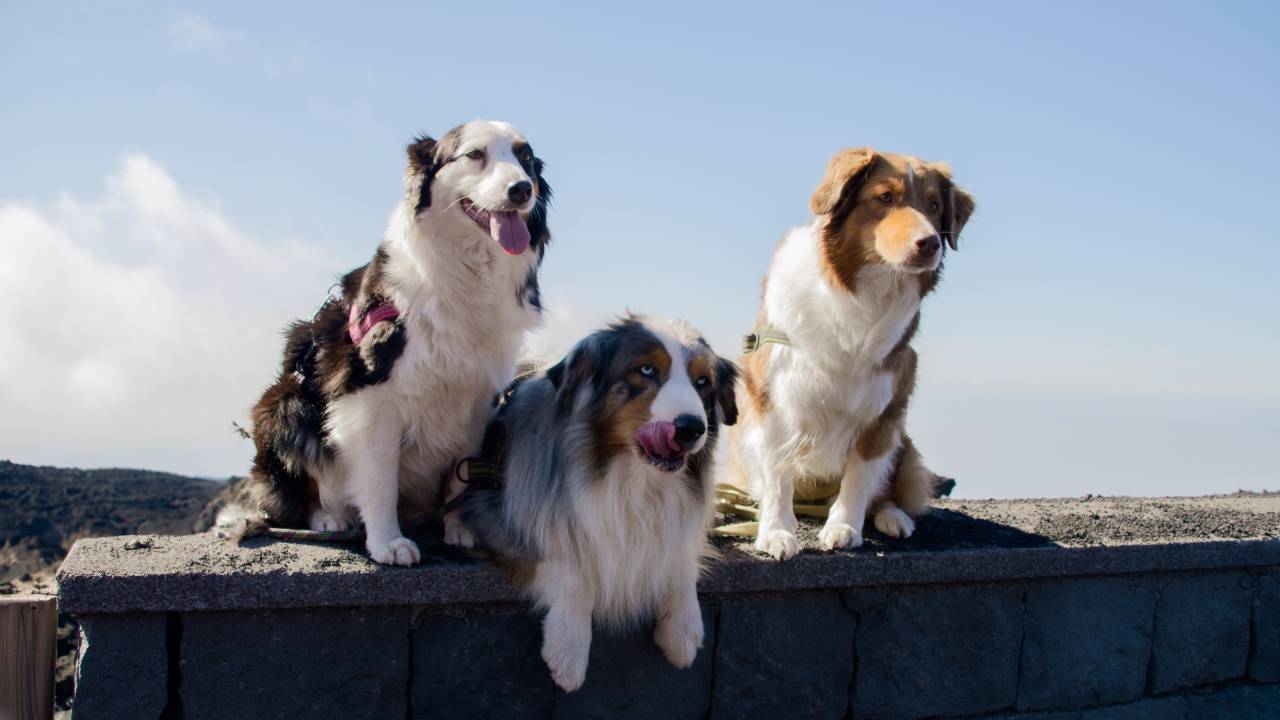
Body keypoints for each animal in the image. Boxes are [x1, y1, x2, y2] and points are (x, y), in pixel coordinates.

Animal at [216, 120, 555, 563]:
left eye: (525, 159)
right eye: (475, 155)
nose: (521, 190)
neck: (467, 274)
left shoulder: (476, 398)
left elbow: (462, 472)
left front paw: (459, 527)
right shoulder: (369, 394)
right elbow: (380, 478)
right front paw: (387, 542)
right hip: (285, 403)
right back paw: (329, 517)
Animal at [448, 316, 737, 686]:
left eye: (703, 381)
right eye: (645, 370)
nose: (691, 428)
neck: (634, 480)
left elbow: (679, 559)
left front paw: (684, 630)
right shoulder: (504, 520)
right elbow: (568, 567)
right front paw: (569, 650)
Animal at [727, 147, 972, 561]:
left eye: (935, 205)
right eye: (885, 197)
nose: (929, 244)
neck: (865, 293)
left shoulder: (886, 407)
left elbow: (860, 477)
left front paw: (844, 527)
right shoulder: (772, 394)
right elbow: (777, 472)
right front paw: (776, 531)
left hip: (904, 446)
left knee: (886, 492)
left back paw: (893, 516)